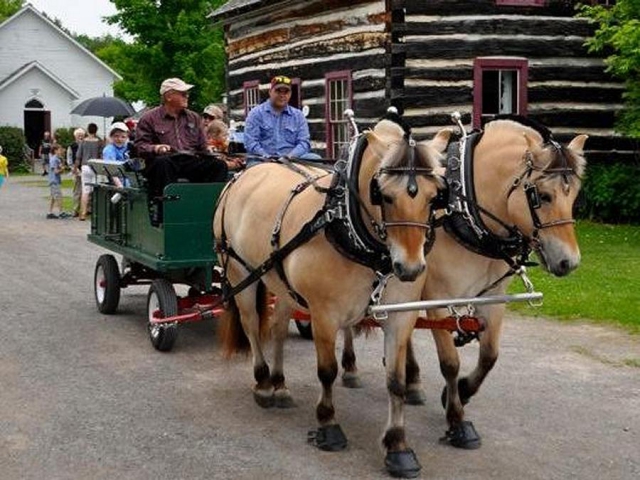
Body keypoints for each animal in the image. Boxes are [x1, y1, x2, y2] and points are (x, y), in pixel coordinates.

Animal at [214, 114, 450, 478]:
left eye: (435, 195)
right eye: (384, 195)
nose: (410, 268)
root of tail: (245, 174)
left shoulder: (400, 316)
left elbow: (395, 382)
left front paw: (397, 444)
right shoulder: (324, 314)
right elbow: (327, 371)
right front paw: (328, 426)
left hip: (281, 282)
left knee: (277, 327)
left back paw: (280, 385)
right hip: (241, 273)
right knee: (253, 325)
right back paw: (264, 383)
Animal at [342, 118, 588, 448]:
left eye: (574, 194)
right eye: (542, 195)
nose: (568, 262)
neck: (462, 211)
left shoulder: (493, 297)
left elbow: (489, 355)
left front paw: (461, 391)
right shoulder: (437, 297)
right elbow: (450, 361)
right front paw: (457, 420)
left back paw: (412, 380)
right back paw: (351, 368)